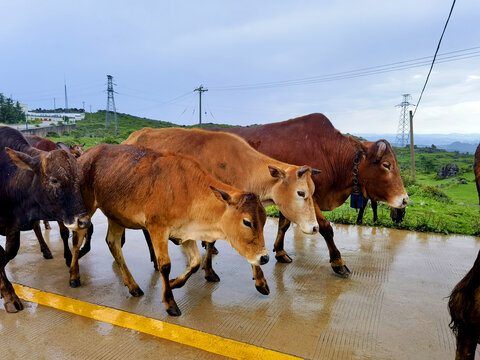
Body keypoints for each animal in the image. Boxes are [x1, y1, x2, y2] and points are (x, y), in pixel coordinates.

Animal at [0, 126, 89, 312]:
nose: (84, 221)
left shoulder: (13, 227)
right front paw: (9, 296)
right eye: (54, 180)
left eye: (80, 178)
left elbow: (6, 253)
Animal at [70, 145, 270, 316]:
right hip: (85, 211)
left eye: (265, 220)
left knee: (113, 243)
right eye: (247, 222)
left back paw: (133, 286)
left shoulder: (186, 233)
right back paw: (74, 276)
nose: (265, 258)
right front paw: (170, 303)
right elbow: (165, 265)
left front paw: (174, 283)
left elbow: (195, 263)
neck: (189, 191)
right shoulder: (157, 228)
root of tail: (85, 156)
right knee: (77, 241)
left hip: (116, 216)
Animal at [211, 112, 408, 276]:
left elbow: (284, 224)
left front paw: (280, 252)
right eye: (386, 165)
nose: (405, 199)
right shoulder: (310, 198)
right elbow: (325, 228)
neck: (329, 154)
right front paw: (338, 262)